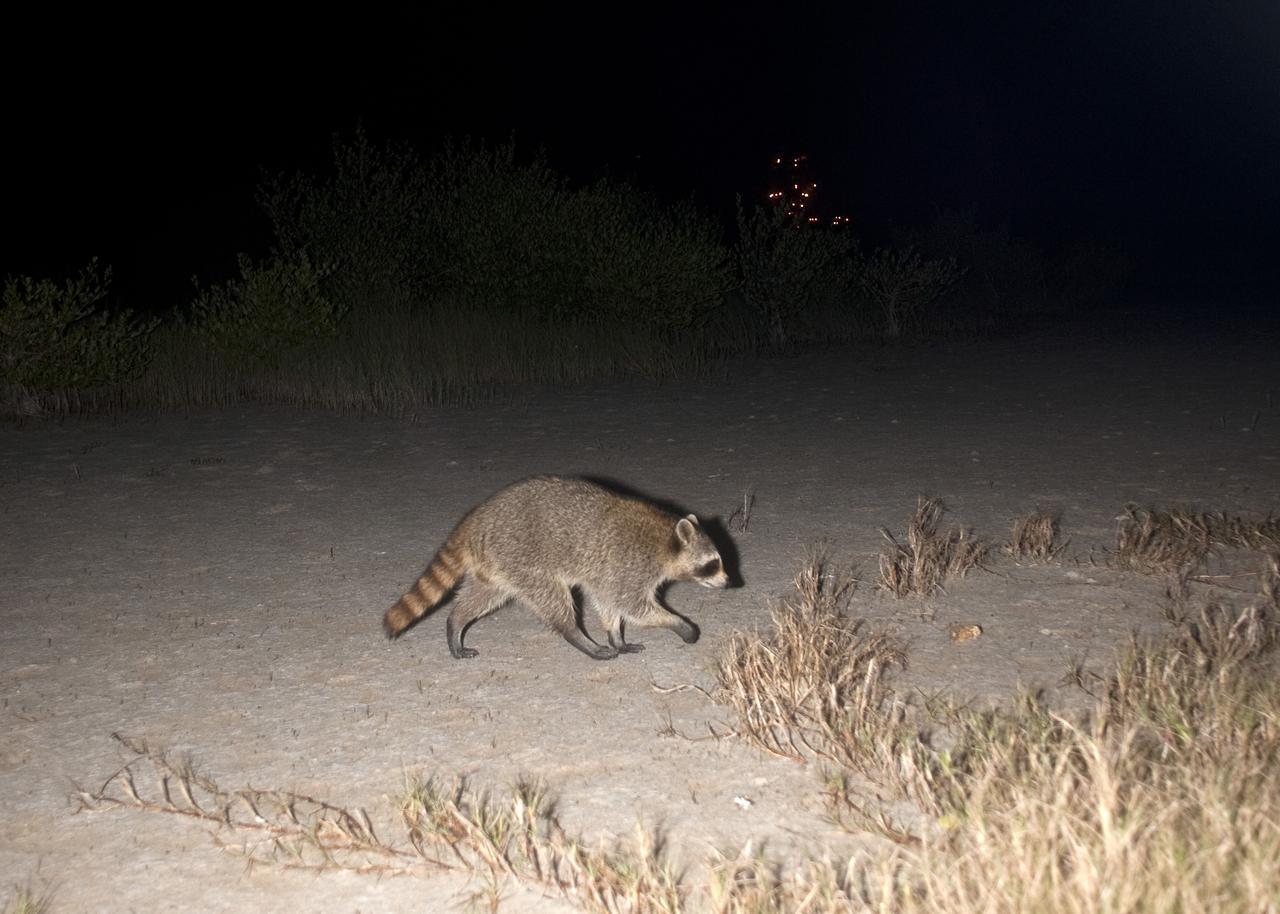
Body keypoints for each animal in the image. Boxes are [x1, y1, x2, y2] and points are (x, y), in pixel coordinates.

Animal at [383, 476, 728, 660]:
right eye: (713, 564)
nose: (728, 583)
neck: (664, 537)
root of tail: (478, 517)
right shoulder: (629, 566)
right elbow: (633, 606)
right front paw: (678, 623)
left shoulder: (609, 575)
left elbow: (609, 605)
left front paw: (616, 636)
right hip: (524, 558)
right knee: (554, 600)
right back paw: (578, 637)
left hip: (499, 564)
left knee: (484, 595)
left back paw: (456, 623)